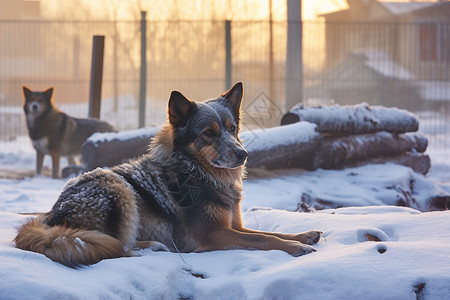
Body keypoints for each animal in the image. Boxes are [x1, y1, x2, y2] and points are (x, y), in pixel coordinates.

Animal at [15, 82, 322, 268]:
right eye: (208, 133)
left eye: (231, 128)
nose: (242, 154)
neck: (198, 171)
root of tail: (53, 216)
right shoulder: (214, 234)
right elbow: (262, 239)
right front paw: (297, 247)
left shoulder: (233, 226)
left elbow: (266, 232)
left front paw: (303, 236)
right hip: (118, 188)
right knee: (116, 246)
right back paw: (153, 245)